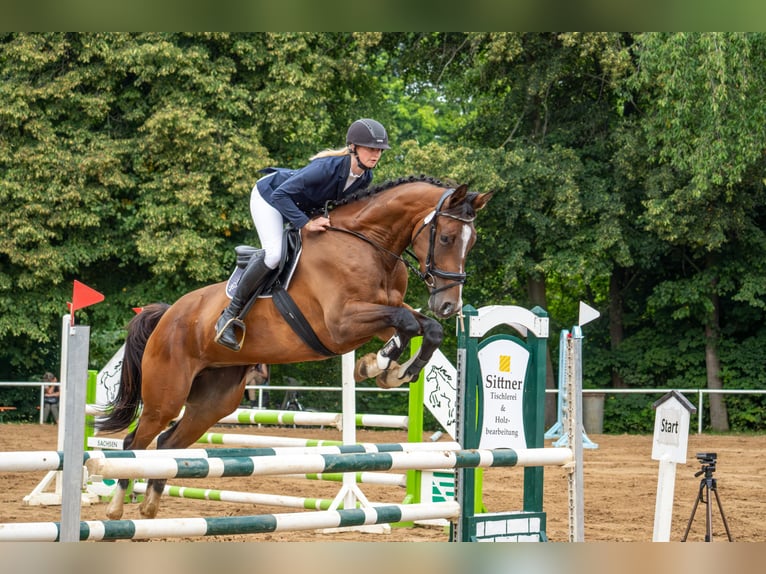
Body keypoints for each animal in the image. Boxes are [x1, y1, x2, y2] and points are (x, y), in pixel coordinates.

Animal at [96, 176, 492, 520]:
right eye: (446, 237)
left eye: (472, 242)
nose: (450, 305)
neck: (368, 244)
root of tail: (167, 315)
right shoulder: (342, 324)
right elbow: (407, 324)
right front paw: (377, 366)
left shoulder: (382, 314)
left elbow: (425, 328)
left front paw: (393, 371)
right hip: (166, 395)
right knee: (135, 440)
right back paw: (116, 508)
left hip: (213, 402)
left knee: (168, 443)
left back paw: (150, 505)